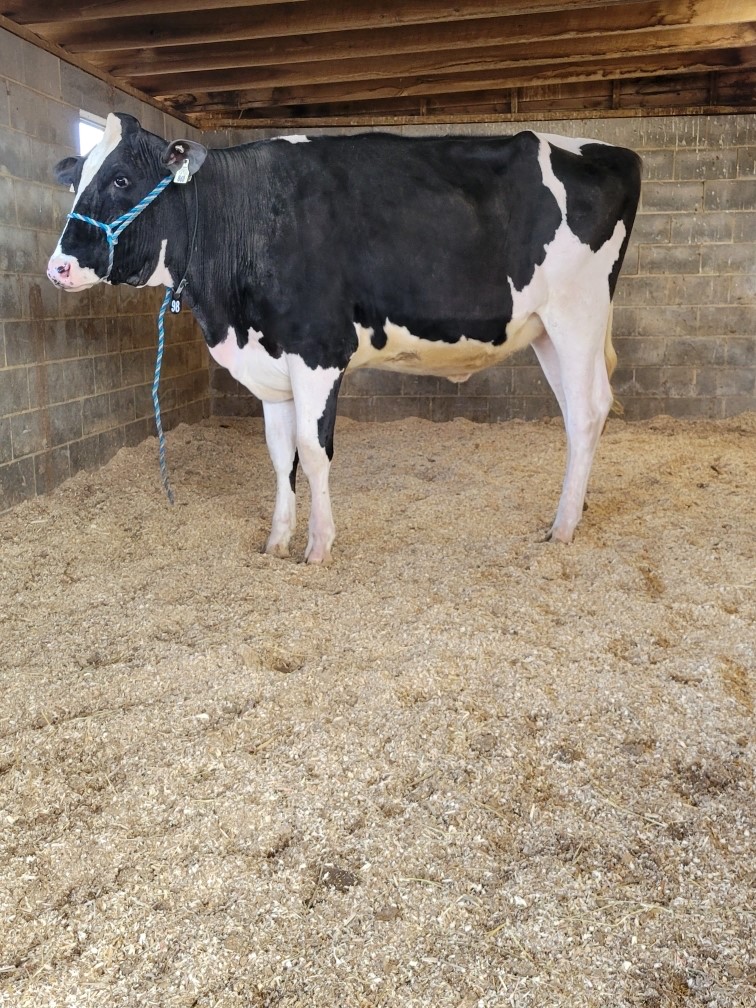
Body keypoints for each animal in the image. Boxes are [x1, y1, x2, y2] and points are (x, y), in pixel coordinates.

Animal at [48, 113, 641, 564]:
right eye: (76, 180)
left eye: (122, 179)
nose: (58, 267)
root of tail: (613, 151)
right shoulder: (272, 363)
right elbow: (278, 453)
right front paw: (276, 542)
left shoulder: (318, 350)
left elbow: (313, 453)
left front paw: (318, 547)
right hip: (545, 330)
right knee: (579, 412)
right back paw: (573, 510)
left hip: (577, 314)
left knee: (587, 411)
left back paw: (562, 527)